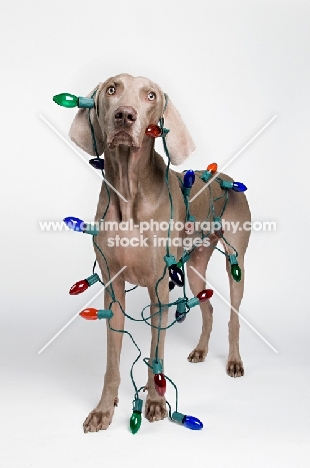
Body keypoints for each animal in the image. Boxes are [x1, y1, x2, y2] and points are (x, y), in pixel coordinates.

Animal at [69, 72, 251, 432]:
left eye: (151, 95)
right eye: (111, 89)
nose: (125, 116)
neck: (129, 192)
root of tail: (226, 177)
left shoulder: (159, 290)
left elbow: (155, 353)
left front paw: (154, 402)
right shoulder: (112, 286)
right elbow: (112, 360)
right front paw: (104, 409)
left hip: (236, 261)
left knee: (234, 316)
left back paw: (234, 361)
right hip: (194, 266)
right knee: (207, 307)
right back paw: (200, 350)